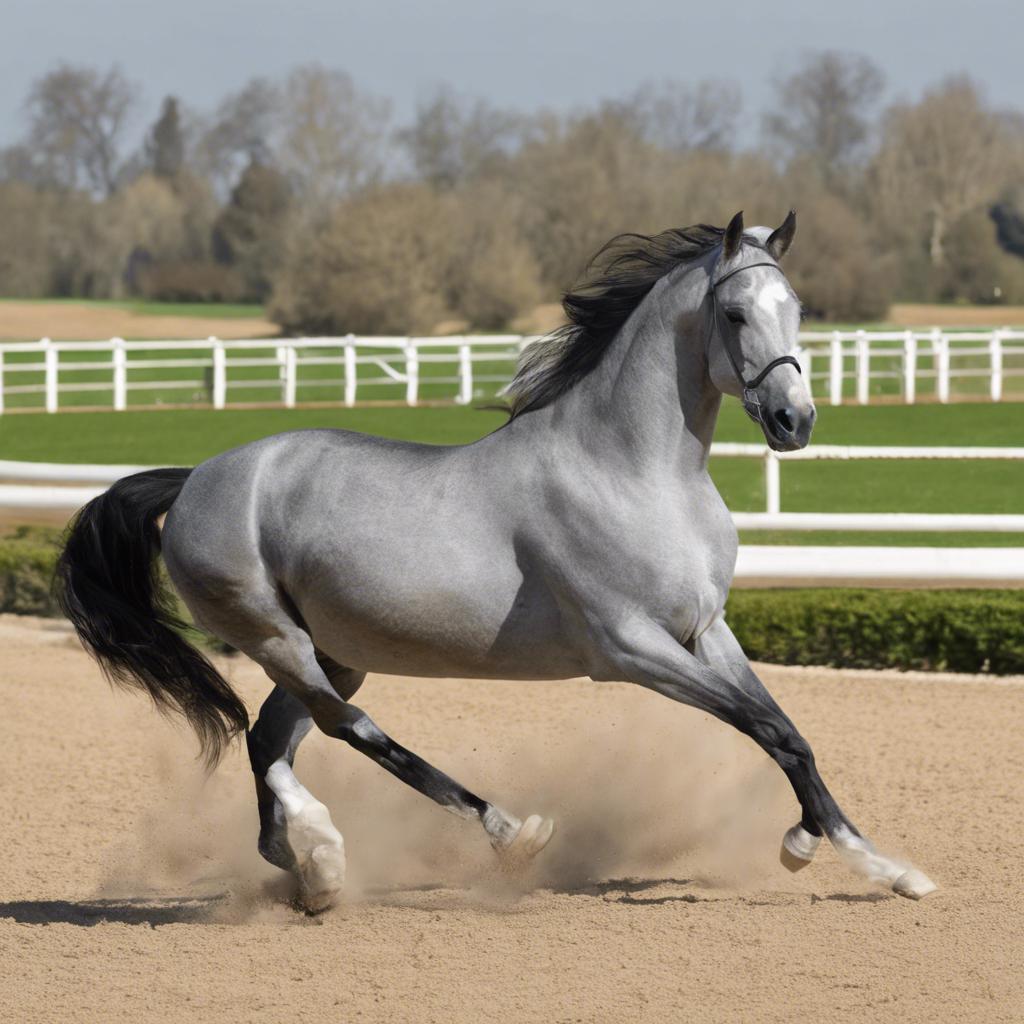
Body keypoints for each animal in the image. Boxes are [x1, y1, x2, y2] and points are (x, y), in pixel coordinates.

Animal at [56, 211, 937, 909]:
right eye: (732, 312)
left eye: (797, 309)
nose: (794, 421)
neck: (634, 471)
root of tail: (199, 478)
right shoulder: (628, 649)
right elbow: (765, 727)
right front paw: (809, 847)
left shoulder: (705, 632)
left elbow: (789, 732)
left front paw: (881, 867)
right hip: (278, 639)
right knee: (343, 731)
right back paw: (492, 831)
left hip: (335, 651)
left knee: (272, 742)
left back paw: (312, 870)